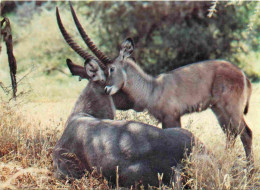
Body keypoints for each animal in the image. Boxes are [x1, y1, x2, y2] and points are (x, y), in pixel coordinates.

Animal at [57, 4, 254, 165]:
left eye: (111, 69)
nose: (107, 88)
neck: (153, 88)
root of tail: (242, 74)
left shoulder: (171, 117)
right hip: (218, 109)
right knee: (231, 134)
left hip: (231, 109)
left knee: (246, 133)